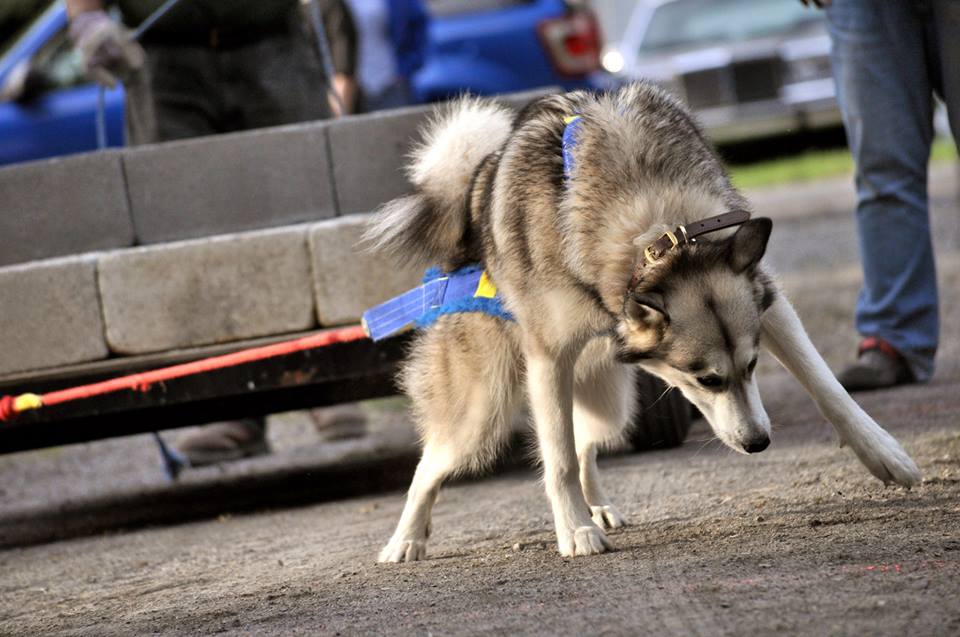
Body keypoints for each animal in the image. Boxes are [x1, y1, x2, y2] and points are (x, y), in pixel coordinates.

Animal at [364, 80, 920, 560]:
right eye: (706, 379)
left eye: (753, 366)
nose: (758, 443)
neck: (664, 233)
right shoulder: (548, 358)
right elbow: (556, 459)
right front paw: (574, 531)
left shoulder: (770, 302)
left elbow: (826, 385)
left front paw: (883, 454)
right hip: (483, 414)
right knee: (432, 465)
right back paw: (406, 540)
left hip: (610, 402)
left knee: (585, 443)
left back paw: (598, 507)